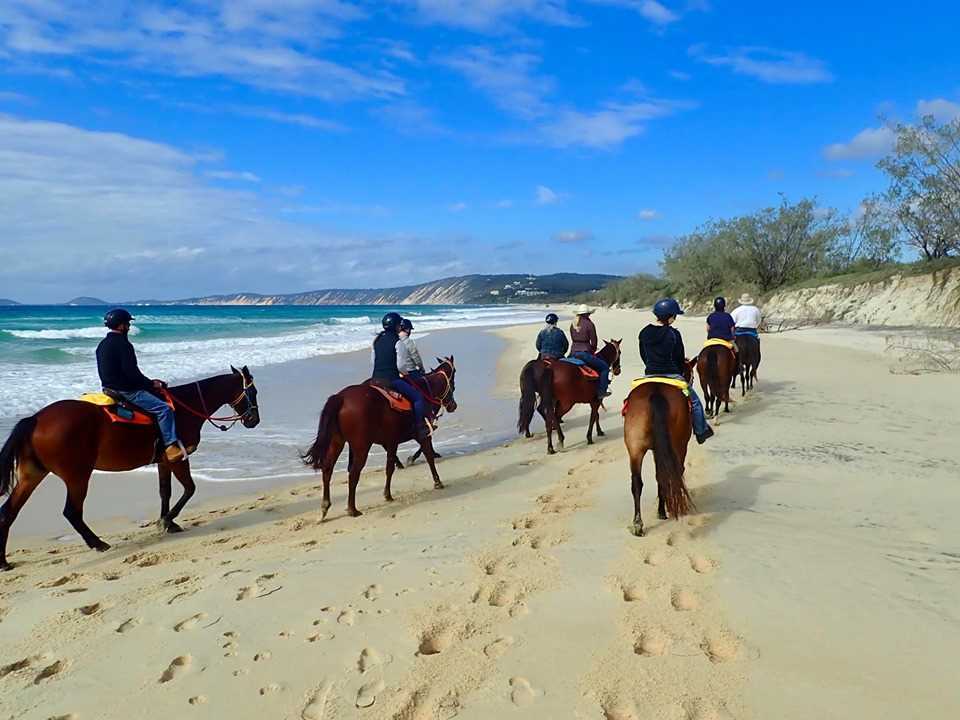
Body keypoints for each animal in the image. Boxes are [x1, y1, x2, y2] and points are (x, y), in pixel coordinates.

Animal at [0, 366, 259, 571]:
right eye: (253, 392)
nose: (254, 421)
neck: (186, 407)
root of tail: (35, 419)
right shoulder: (178, 459)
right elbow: (189, 489)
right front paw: (167, 521)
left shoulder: (164, 462)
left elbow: (165, 491)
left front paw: (168, 521)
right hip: (77, 476)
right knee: (72, 512)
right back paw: (98, 543)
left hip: (32, 476)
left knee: (8, 512)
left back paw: (3, 562)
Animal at [301, 358, 457, 520]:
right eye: (453, 379)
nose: (453, 405)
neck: (424, 390)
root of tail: (341, 397)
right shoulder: (421, 434)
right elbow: (427, 455)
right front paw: (437, 481)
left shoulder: (391, 441)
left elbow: (390, 467)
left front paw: (388, 494)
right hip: (361, 446)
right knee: (353, 473)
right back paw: (352, 509)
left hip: (336, 442)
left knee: (327, 468)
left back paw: (325, 506)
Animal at [622, 360, 697, 537]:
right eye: (691, 374)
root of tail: (656, 393)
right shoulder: (680, 446)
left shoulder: (657, 449)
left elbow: (658, 476)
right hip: (678, 445)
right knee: (675, 472)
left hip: (635, 448)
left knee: (637, 482)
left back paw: (638, 524)